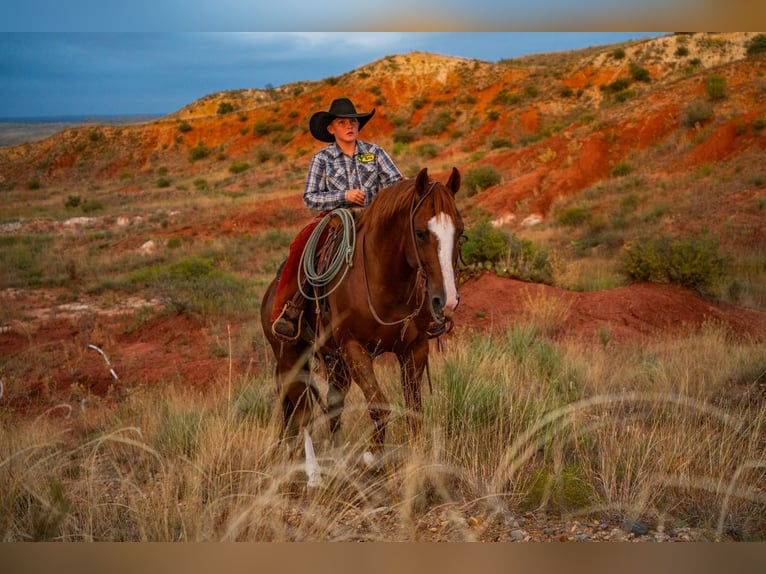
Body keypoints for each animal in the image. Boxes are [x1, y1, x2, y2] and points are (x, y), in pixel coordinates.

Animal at [259, 167, 463, 486]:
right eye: (420, 232)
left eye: (460, 231)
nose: (448, 300)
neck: (386, 283)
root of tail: (270, 294)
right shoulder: (354, 348)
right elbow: (379, 406)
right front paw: (371, 458)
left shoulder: (414, 349)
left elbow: (413, 408)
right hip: (291, 357)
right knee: (303, 414)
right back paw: (314, 476)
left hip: (334, 362)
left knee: (332, 406)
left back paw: (337, 459)